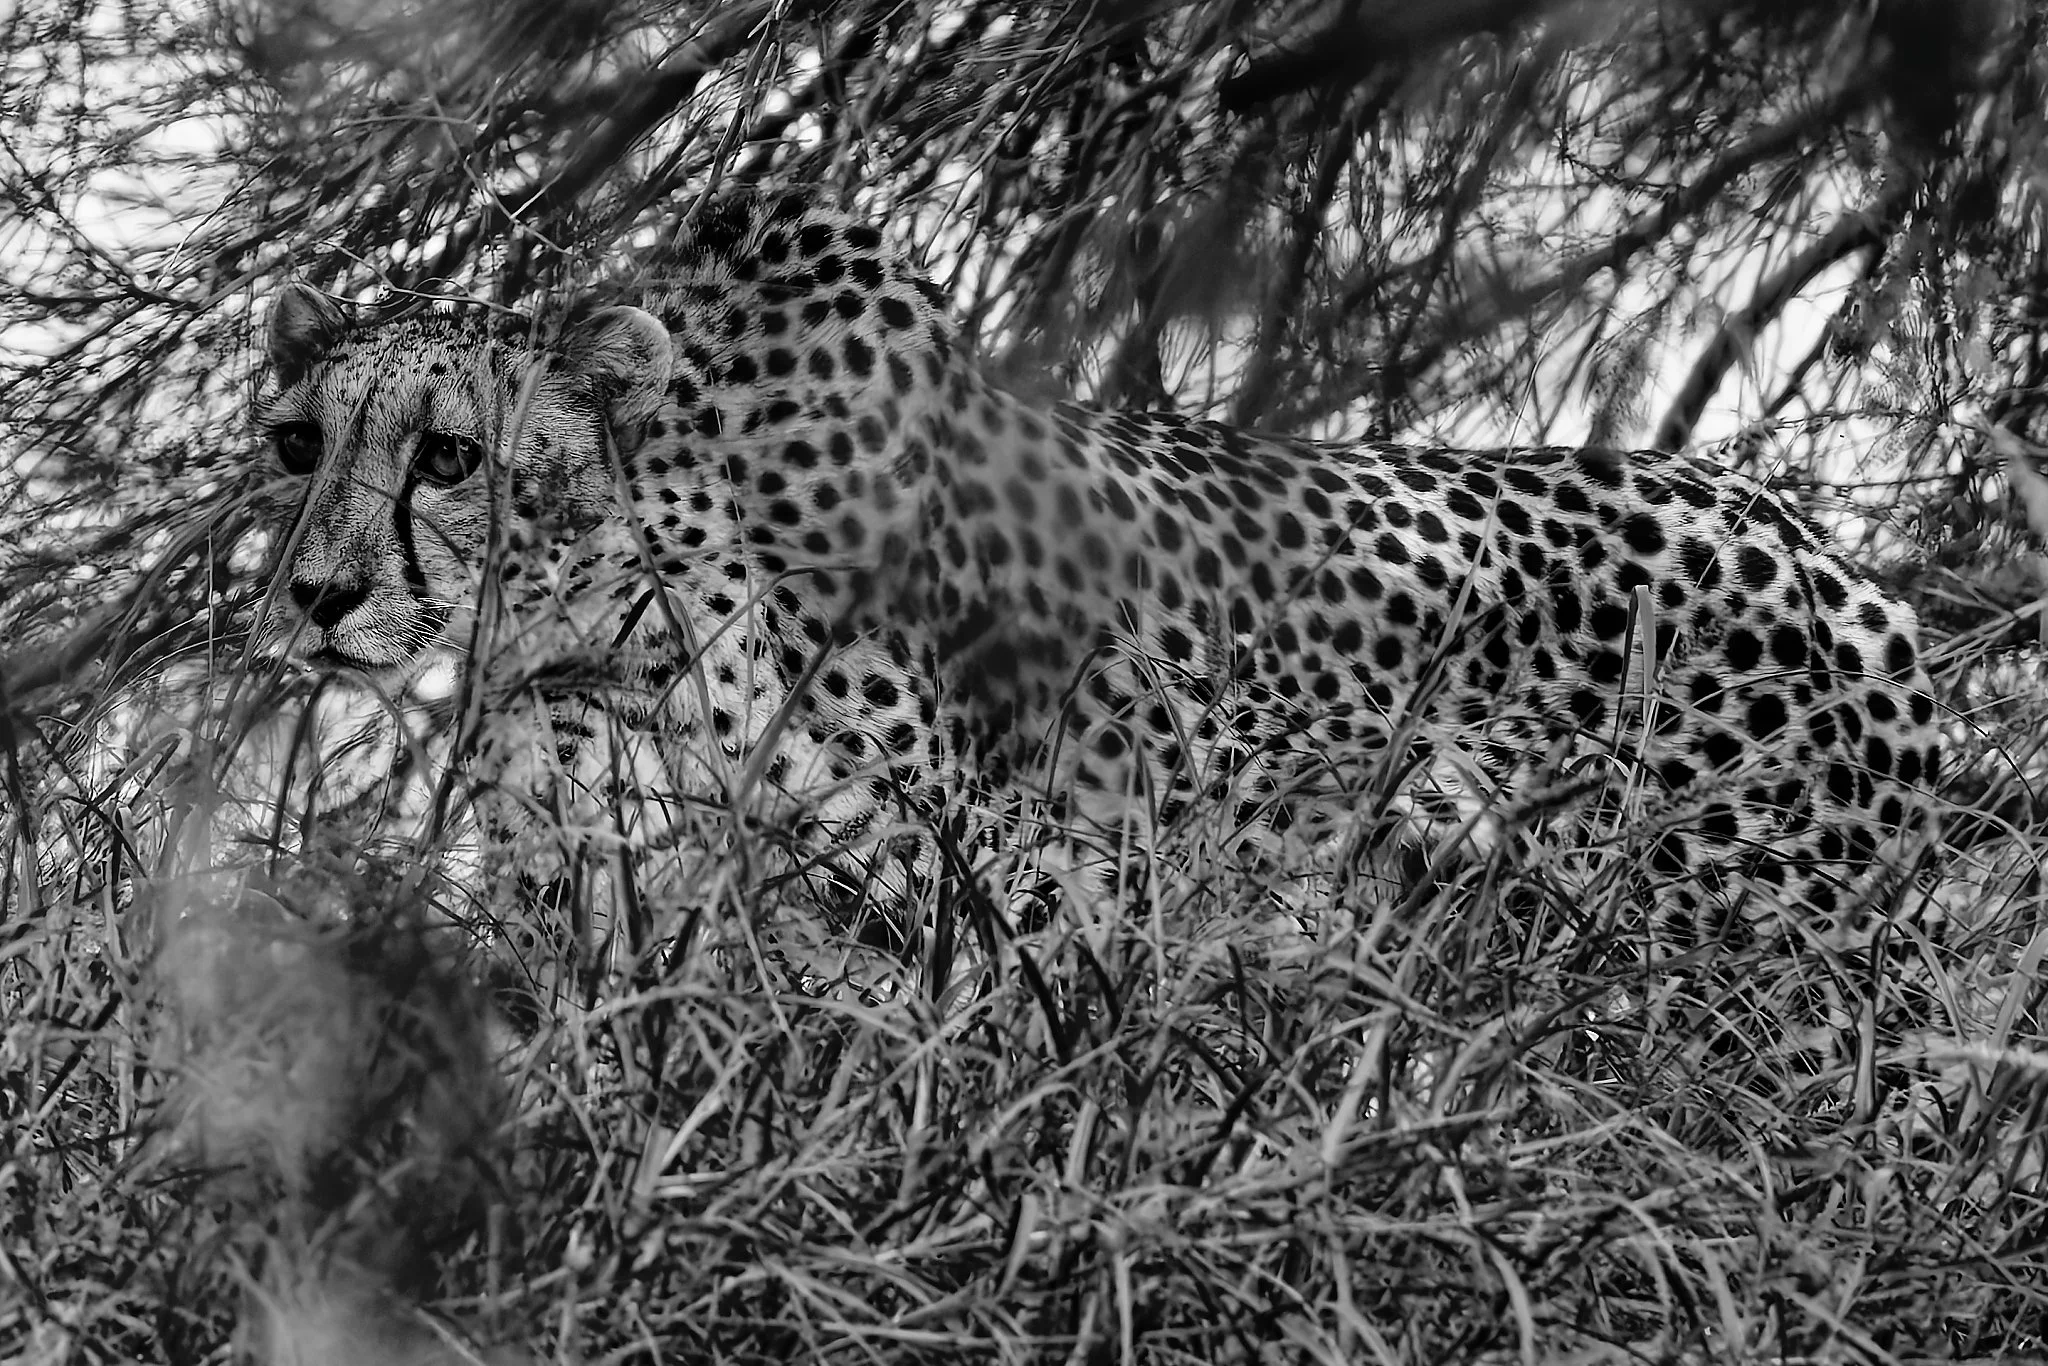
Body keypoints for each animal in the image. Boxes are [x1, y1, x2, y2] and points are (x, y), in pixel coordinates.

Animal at [250, 189, 1943, 974]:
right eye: (296, 443)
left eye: (450, 457)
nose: (315, 594)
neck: (605, 624)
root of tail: (1815, 543)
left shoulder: (1037, 893)